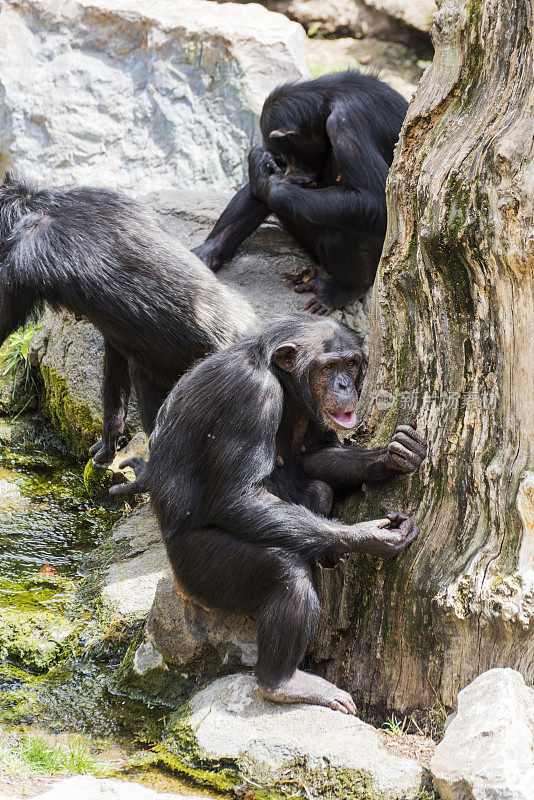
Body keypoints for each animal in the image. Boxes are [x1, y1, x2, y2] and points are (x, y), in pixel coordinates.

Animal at [144, 312, 430, 712]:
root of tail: (176, 583)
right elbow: (240, 496)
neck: (281, 378)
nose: (344, 384)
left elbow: (313, 456)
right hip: (197, 572)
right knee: (284, 571)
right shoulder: (251, 395)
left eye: (350, 363)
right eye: (328, 367)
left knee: (318, 490)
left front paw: (396, 454)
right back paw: (284, 682)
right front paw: (369, 537)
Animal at [195, 70, 408, 316]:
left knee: (341, 229)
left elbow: (376, 200)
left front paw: (269, 184)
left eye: (286, 152)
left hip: (377, 267)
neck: (327, 100)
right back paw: (210, 252)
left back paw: (342, 290)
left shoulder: (345, 125)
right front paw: (259, 159)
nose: (287, 165)